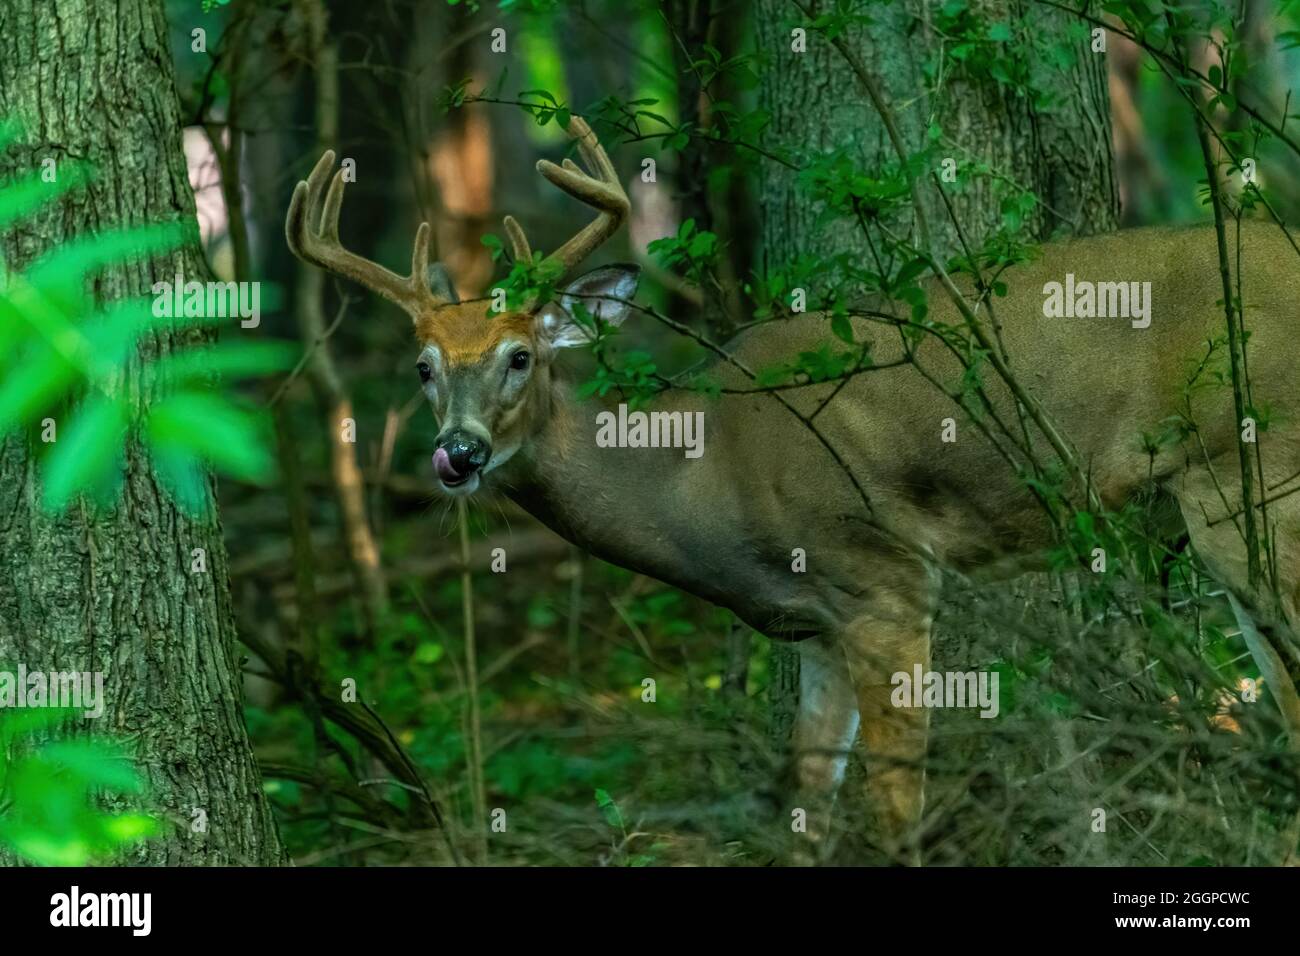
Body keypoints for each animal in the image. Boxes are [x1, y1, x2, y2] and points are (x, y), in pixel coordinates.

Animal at [289, 115, 1300, 863]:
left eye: (519, 356)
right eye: (422, 368)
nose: (455, 455)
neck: (703, 475)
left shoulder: (885, 577)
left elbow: (895, 808)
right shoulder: (812, 622)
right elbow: (806, 805)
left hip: (1250, 479)